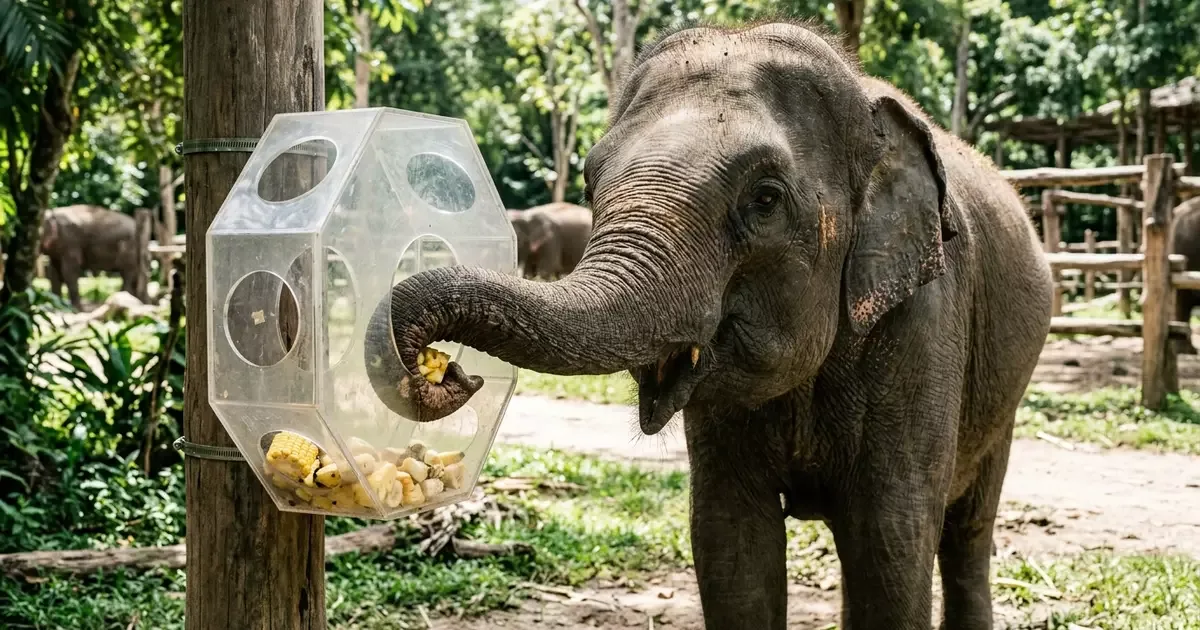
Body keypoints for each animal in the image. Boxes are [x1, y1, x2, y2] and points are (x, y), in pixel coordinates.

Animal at [365, 22, 1052, 630]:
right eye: (589, 178)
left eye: (766, 198)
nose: (451, 371)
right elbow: (729, 546)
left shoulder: (925, 329)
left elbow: (891, 541)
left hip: (1006, 396)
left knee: (967, 531)